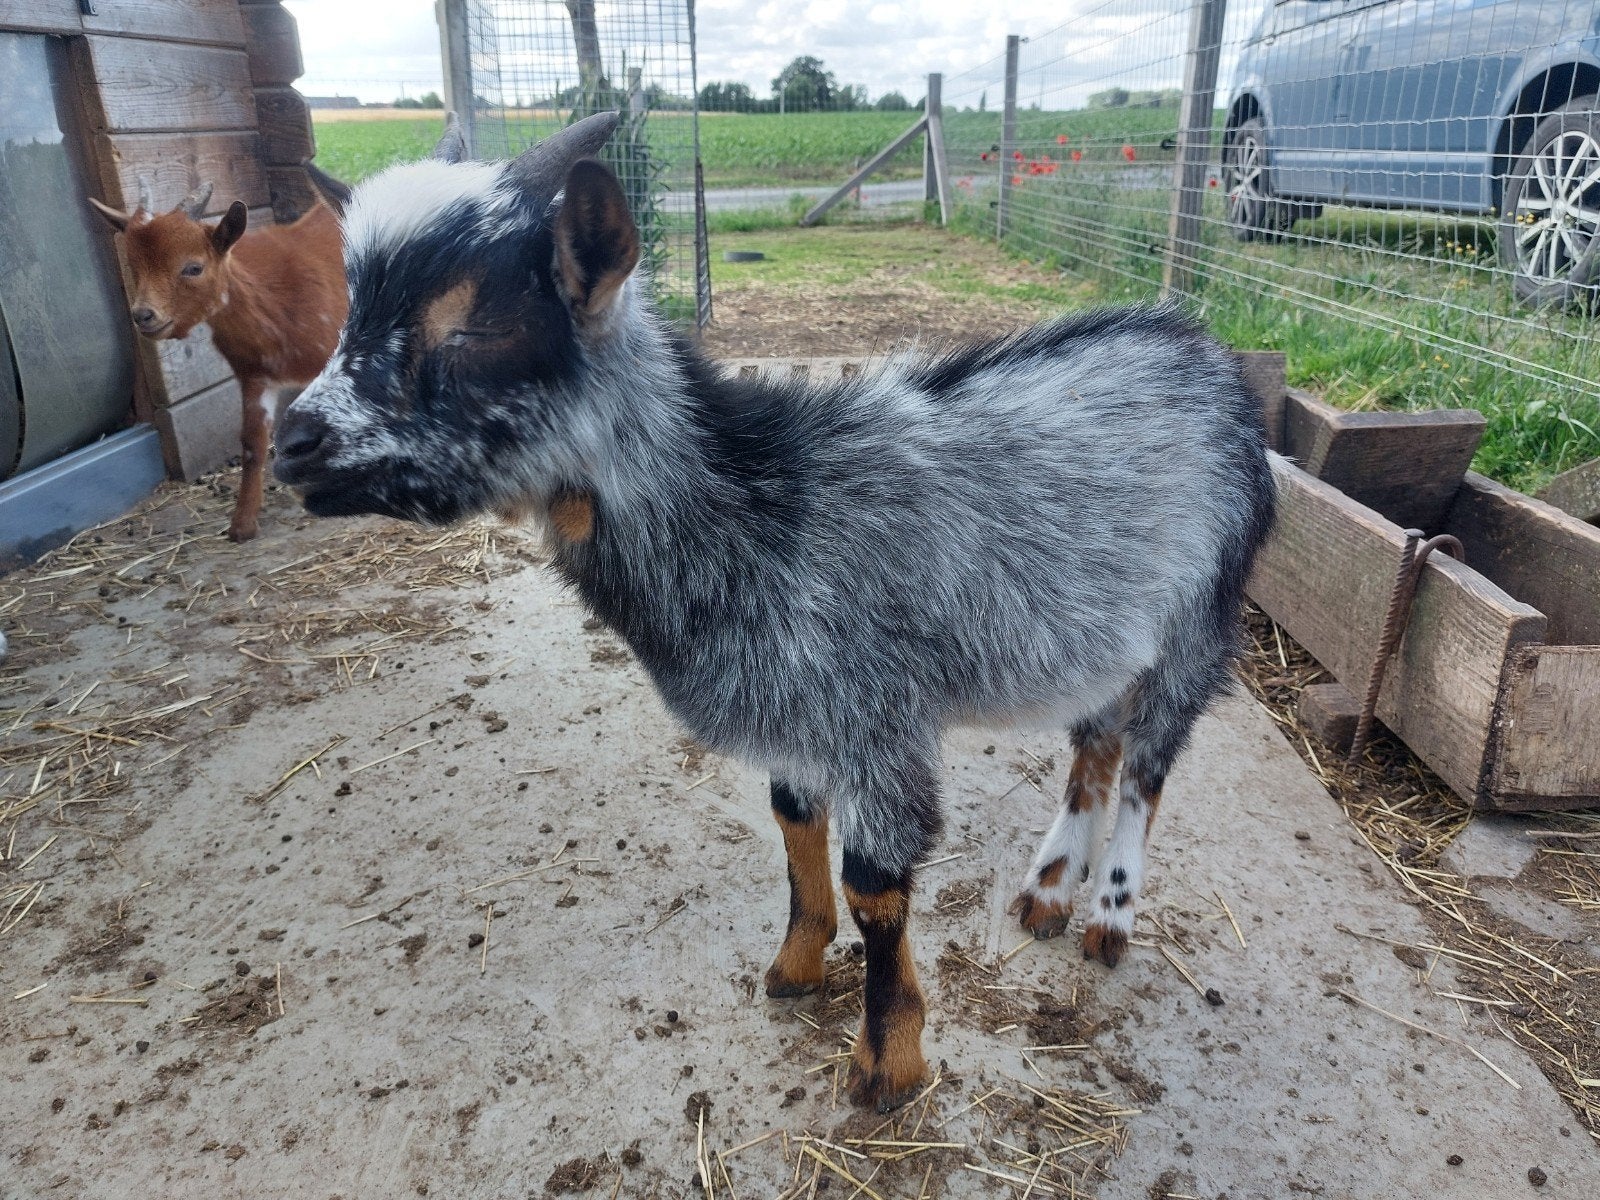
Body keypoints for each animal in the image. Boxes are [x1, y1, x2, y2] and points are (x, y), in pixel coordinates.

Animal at [90, 171, 349, 542]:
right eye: (133, 266)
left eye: (193, 267)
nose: (143, 315)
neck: (277, 305)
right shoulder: (253, 376)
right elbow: (252, 444)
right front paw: (242, 524)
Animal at [271, 112, 1278, 1111]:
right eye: (351, 309)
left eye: (473, 325)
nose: (290, 444)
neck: (759, 511)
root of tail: (1210, 357)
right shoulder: (799, 711)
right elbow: (794, 823)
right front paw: (795, 966)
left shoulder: (876, 718)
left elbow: (875, 887)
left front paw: (886, 1064)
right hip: (1105, 631)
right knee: (1096, 746)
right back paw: (1049, 892)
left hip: (1198, 620)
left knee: (1148, 764)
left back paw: (1109, 914)